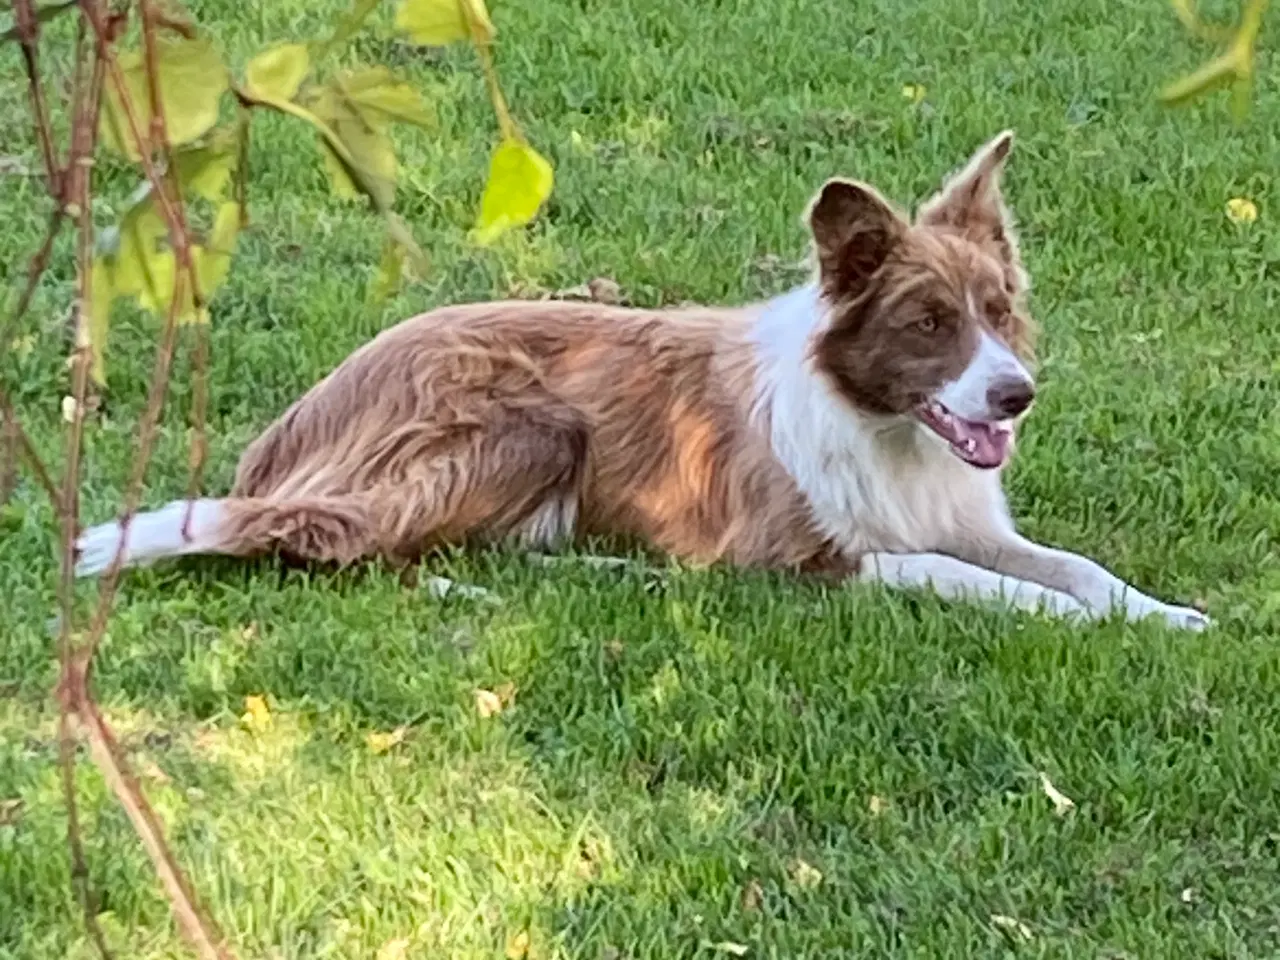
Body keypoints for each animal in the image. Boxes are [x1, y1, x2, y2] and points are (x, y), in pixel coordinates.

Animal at [77, 133, 1208, 632]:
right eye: (928, 323)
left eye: (999, 312)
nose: (1015, 394)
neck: (879, 429)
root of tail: (285, 433)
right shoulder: (804, 556)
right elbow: (972, 581)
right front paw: (1084, 619)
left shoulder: (960, 512)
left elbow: (1073, 567)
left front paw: (1162, 615)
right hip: (527, 425)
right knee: (338, 543)